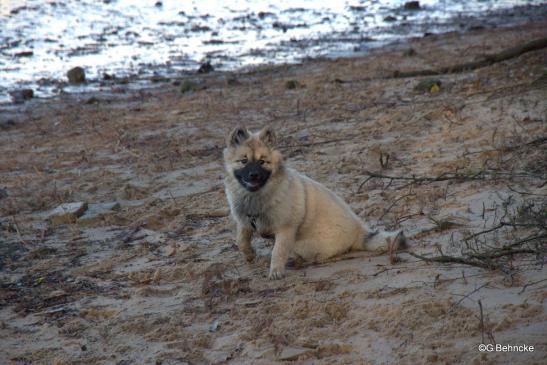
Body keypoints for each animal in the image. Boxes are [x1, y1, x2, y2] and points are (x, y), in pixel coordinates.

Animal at [223, 125, 406, 278]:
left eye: (262, 162)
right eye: (244, 161)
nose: (253, 175)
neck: (256, 195)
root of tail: (359, 231)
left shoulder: (285, 230)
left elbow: (278, 251)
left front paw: (275, 271)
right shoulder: (245, 222)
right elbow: (241, 241)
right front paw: (249, 255)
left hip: (303, 244)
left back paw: (295, 261)